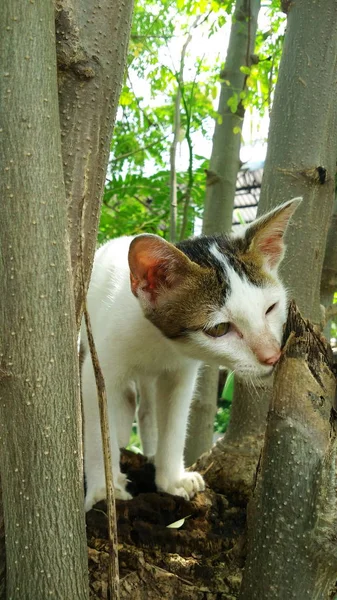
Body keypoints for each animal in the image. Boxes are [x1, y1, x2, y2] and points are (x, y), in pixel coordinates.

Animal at [80, 197, 300, 510]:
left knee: (146, 406)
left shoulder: (180, 372)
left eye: (271, 308)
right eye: (219, 328)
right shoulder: (99, 367)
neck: (160, 342)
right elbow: (100, 420)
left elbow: (174, 419)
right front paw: (103, 491)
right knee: (127, 400)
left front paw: (172, 480)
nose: (272, 356)